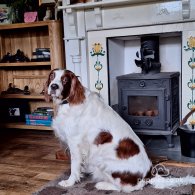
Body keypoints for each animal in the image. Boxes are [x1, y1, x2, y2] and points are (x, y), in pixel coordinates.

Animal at [45, 68, 195, 192]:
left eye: (65, 79)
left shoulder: (75, 142)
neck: (70, 101)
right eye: (52, 76)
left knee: (125, 188)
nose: (53, 86)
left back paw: (102, 185)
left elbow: (74, 166)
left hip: (102, 159)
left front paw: (69, 182)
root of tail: (148, 175)